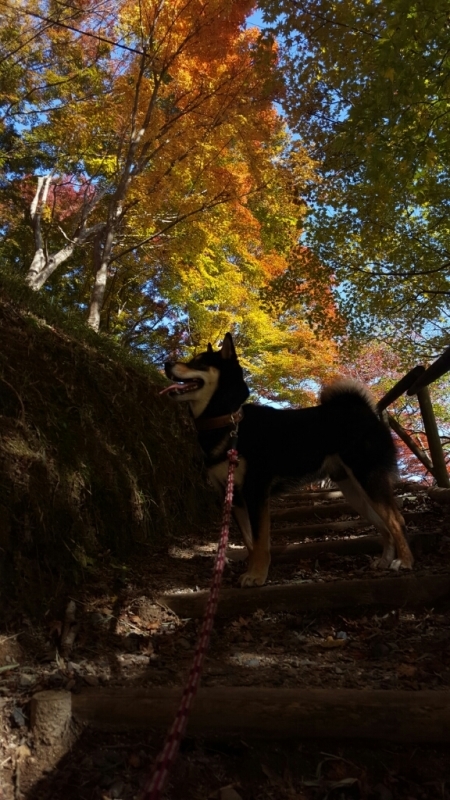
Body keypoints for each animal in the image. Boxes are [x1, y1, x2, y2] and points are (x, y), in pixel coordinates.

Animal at [163, 332, 414, 588]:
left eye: (199, 363)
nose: (166, 363)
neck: (230, 421)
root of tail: (365, 411)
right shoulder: (233, 496)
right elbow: (250, 543)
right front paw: (254, 570)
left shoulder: (255, 492)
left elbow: (260, 541)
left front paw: (257, 575)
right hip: (355, 491)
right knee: (385, 525)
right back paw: (385, 560)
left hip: (368, 477)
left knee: (396, 520)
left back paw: (404, 562)